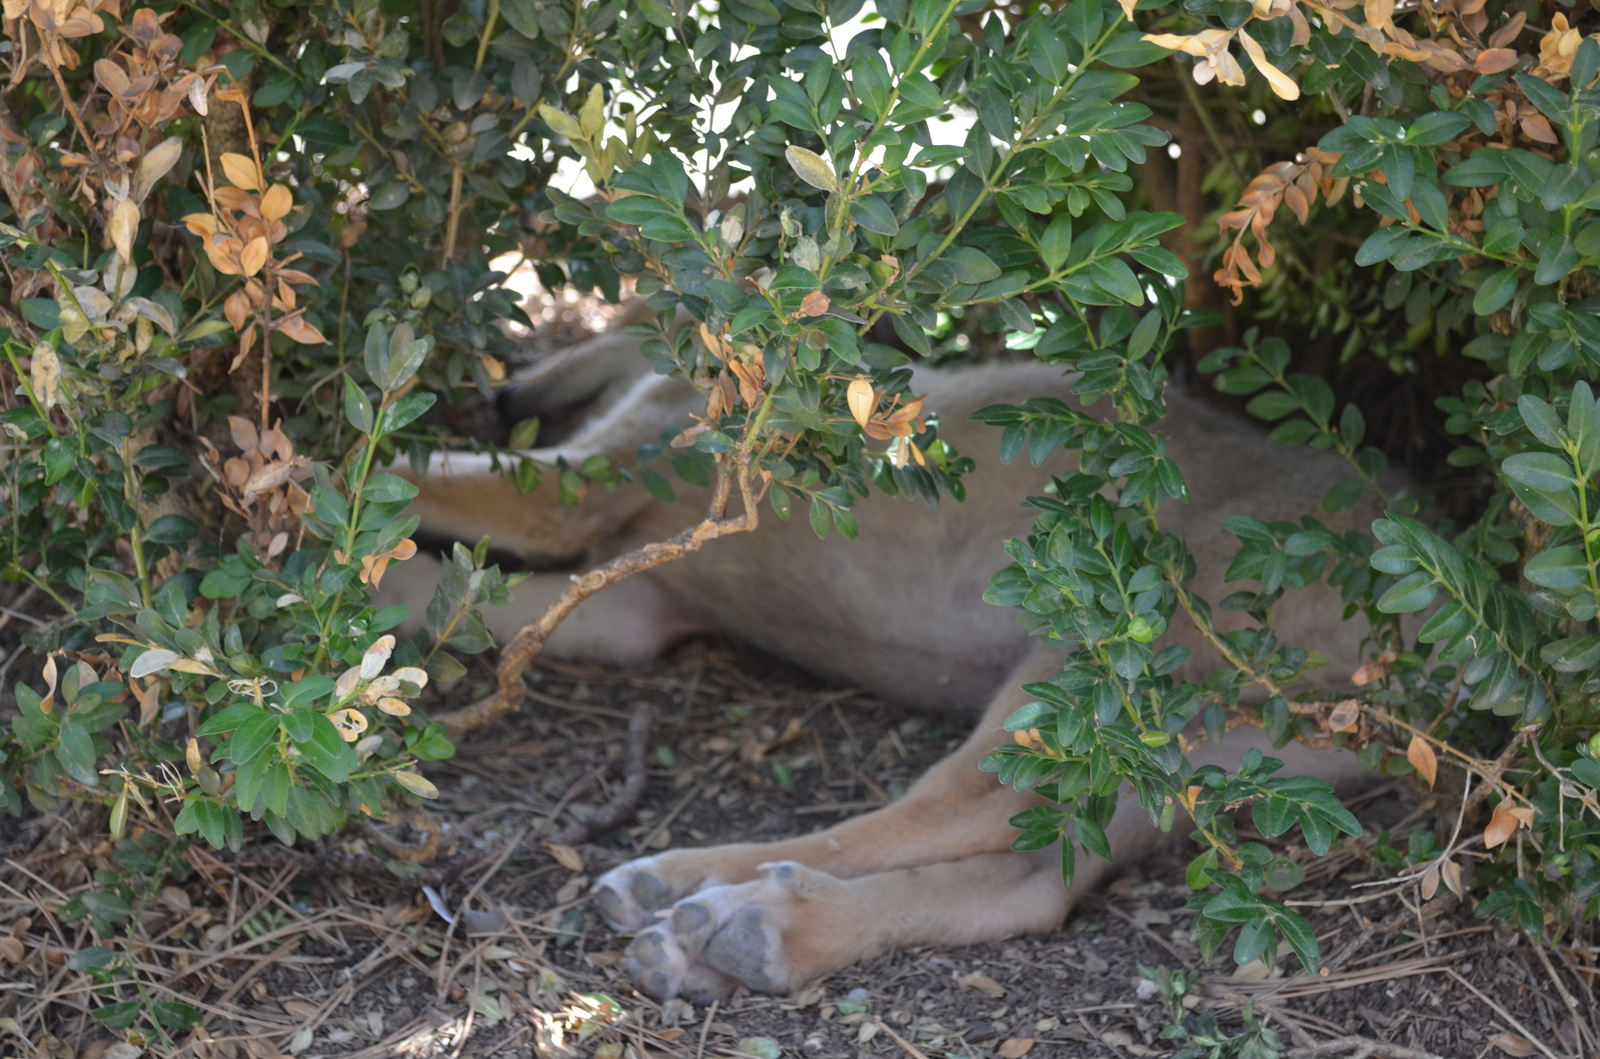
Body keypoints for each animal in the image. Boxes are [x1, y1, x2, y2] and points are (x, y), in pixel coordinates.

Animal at [387, 321, 1376, 1004]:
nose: (509, 391)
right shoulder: (637, 607)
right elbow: (439, 585)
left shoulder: (571, 490)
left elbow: (410, 470)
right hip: (1201, 756)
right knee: (1028, 883)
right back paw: (760, 934)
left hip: (1101, 663)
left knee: (939, 811)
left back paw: (697, 890)